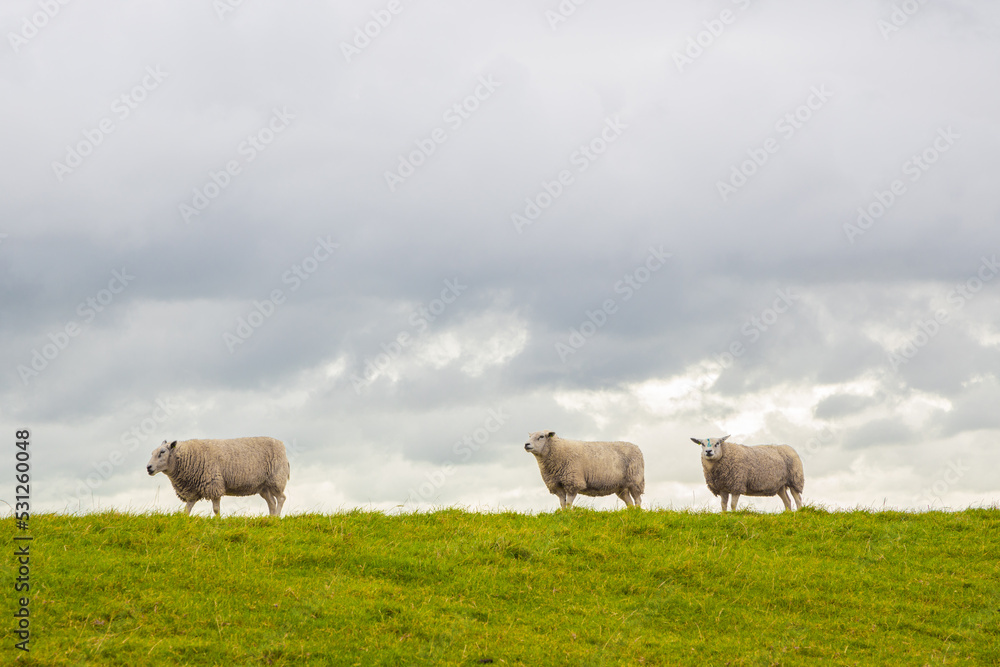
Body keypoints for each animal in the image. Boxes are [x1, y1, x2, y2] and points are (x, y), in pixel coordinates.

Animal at [146, 437, 290, 517]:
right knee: (272, 502)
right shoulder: (193, 490)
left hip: (276, 479)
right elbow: (187, 509)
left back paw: (277, 517)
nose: (148, 467)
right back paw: (271, 518)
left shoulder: (213, 484)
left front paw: (218, 521)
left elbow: (215, 509)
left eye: (162, 452)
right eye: (152, 452)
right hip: (264, 486)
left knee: (281, 498)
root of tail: (282, 445)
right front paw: (184, 520)